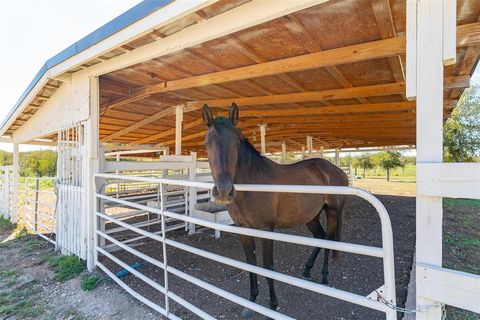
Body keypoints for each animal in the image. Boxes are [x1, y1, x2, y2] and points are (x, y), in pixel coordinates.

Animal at [201, 103, 346, 318]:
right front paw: (250, 303)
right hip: (310, 216)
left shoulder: (266, 230)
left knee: (328, 241)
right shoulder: (243, 230)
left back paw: (324, 277)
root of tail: (336, 170)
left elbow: (267, 267)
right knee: (319, 237)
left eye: (237, 144)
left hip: (333, 212)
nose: (224, 191)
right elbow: (250, 265)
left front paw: (273, 305)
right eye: (206, 144)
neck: (253, 183)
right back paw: (307, 270)